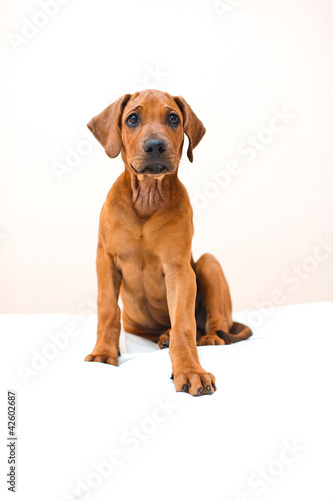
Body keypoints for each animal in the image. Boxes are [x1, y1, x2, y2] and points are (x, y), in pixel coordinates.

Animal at [84, 89, 250, 394]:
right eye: (132, 118)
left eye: (173, 118)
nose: (155, 146)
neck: (147, 197)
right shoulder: (106, 260)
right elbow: (107, 309)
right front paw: (103, 353)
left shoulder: (179, 270)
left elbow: (183, 325)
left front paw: (190, 370)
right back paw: (162, 336)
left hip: (208, 264)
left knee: (213, 321)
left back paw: (208, 337)